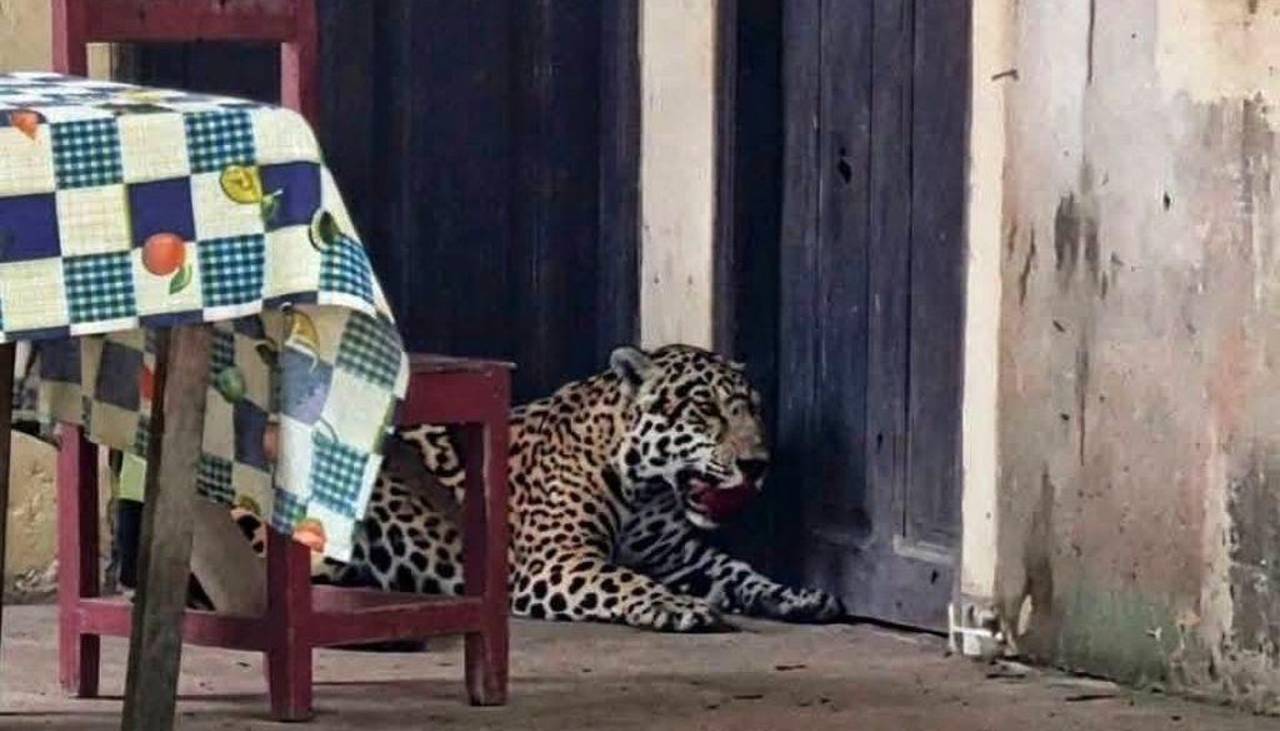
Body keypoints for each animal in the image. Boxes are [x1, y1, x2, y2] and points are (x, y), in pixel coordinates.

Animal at [234, 344, 846, 632]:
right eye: (706, 410)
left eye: (753, 411)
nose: (759, 464)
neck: (646, 491)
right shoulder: (558, 559)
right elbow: (625, 579)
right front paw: (675, 606)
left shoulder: (680, 556)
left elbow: (741, 572)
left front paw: (798, 596)